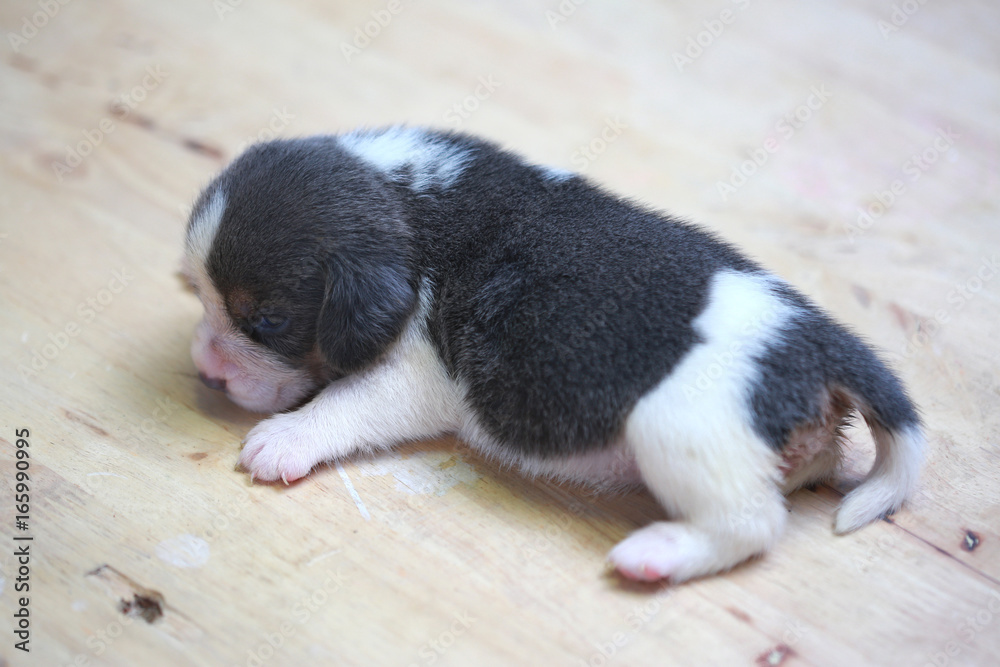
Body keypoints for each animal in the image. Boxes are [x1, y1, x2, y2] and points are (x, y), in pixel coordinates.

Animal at [180, 126, 920, 584]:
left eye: (266, 321)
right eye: (195, 293)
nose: (206, 373)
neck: (405, 202)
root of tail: (820, 340)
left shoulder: (418, 372)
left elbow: (348, 401)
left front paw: (285, 438)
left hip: (679, 425)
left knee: (753, 523)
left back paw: (660, 551)